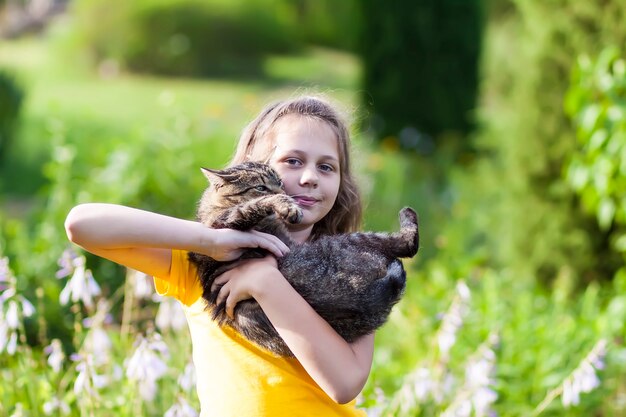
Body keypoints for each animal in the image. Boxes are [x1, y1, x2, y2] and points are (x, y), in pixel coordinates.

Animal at [186, 161, 420, 356]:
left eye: (280, 181)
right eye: (261, 187)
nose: (284, 191)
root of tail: (370, 301)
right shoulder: (225, 225)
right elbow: (256, 204)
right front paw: (285, 205)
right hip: (345, 240)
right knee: (408, 245)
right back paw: (407, 214)